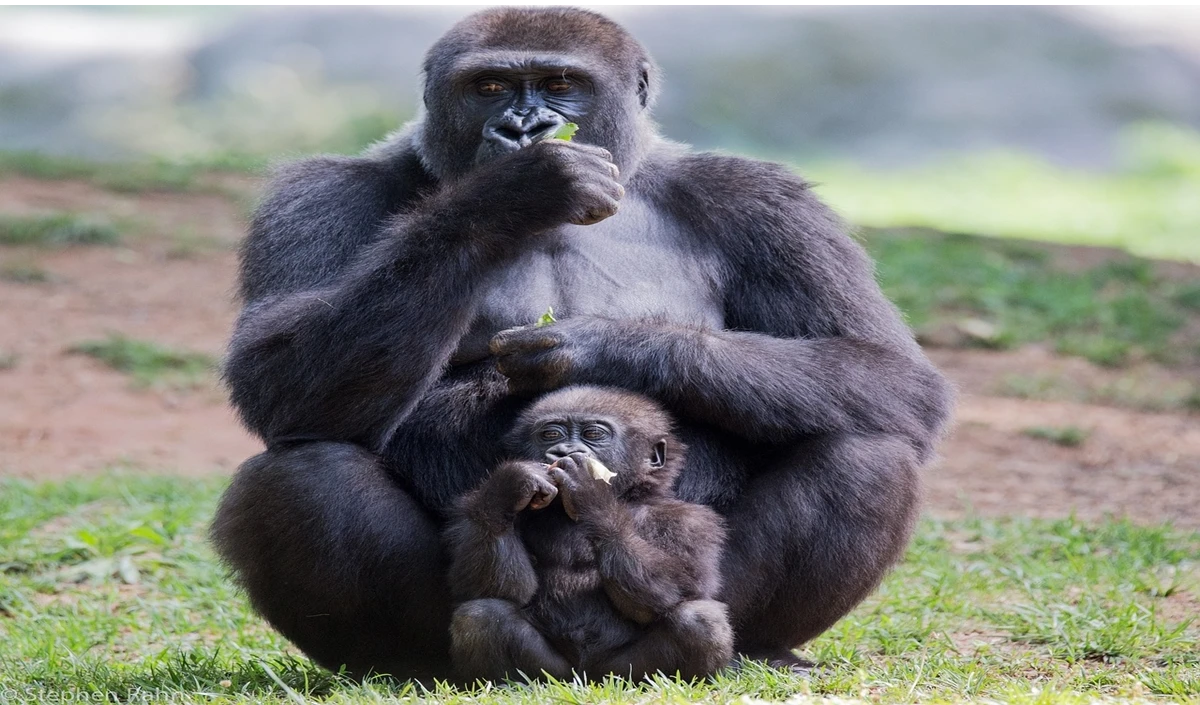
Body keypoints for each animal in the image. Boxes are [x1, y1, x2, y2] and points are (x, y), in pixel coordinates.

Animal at [448, 386, 734, 681]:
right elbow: (494, 586)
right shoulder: (475, 510)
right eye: (551, 435)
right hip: (555, 673)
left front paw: (590, 492)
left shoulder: (692, 521)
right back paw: (509, 683)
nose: (563, 451)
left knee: (698, 620)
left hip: (618, 672)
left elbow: (680, 588)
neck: (628, 496)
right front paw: (512, 483)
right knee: (481, 614)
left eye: (593, 434)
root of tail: (585, 678)